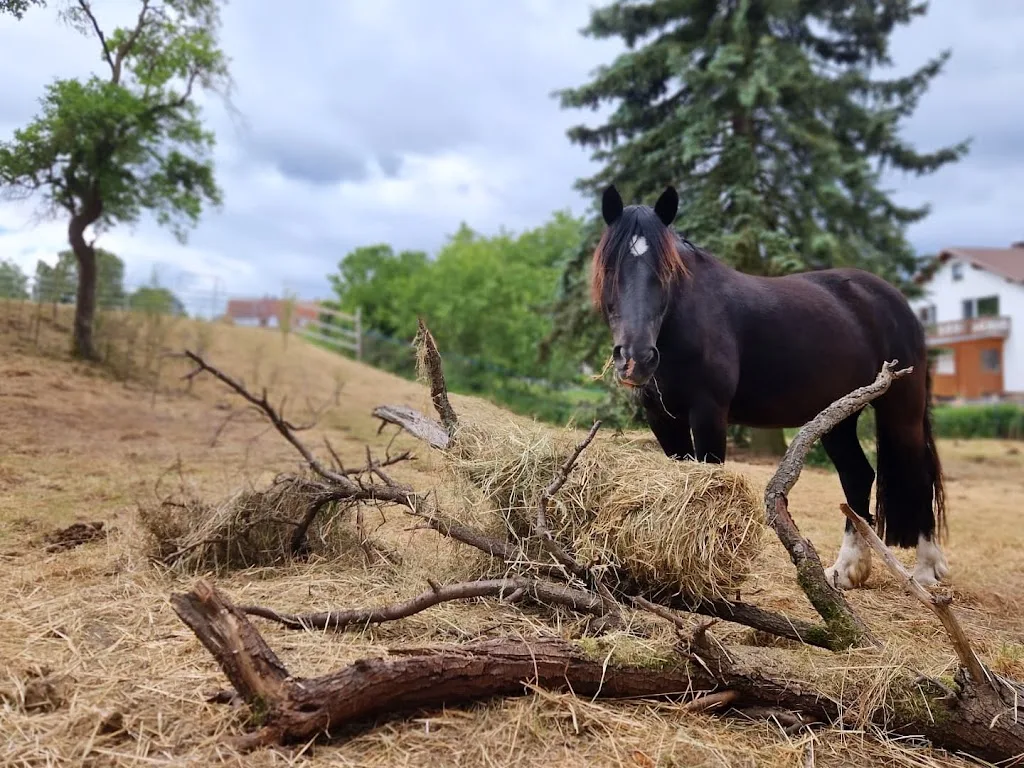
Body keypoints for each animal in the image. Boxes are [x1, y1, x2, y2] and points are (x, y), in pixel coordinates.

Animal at [592, 184, 949, 589]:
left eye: (666, 270)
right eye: (610, 267)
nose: (635, 358)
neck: (686, 320)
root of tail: (896, 302)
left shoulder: (708, 412)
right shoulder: (662, 417)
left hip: (901, 410)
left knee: (917, 474)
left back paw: (926, 570)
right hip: (838, 418)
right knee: (858, 476)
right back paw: (846, 570)